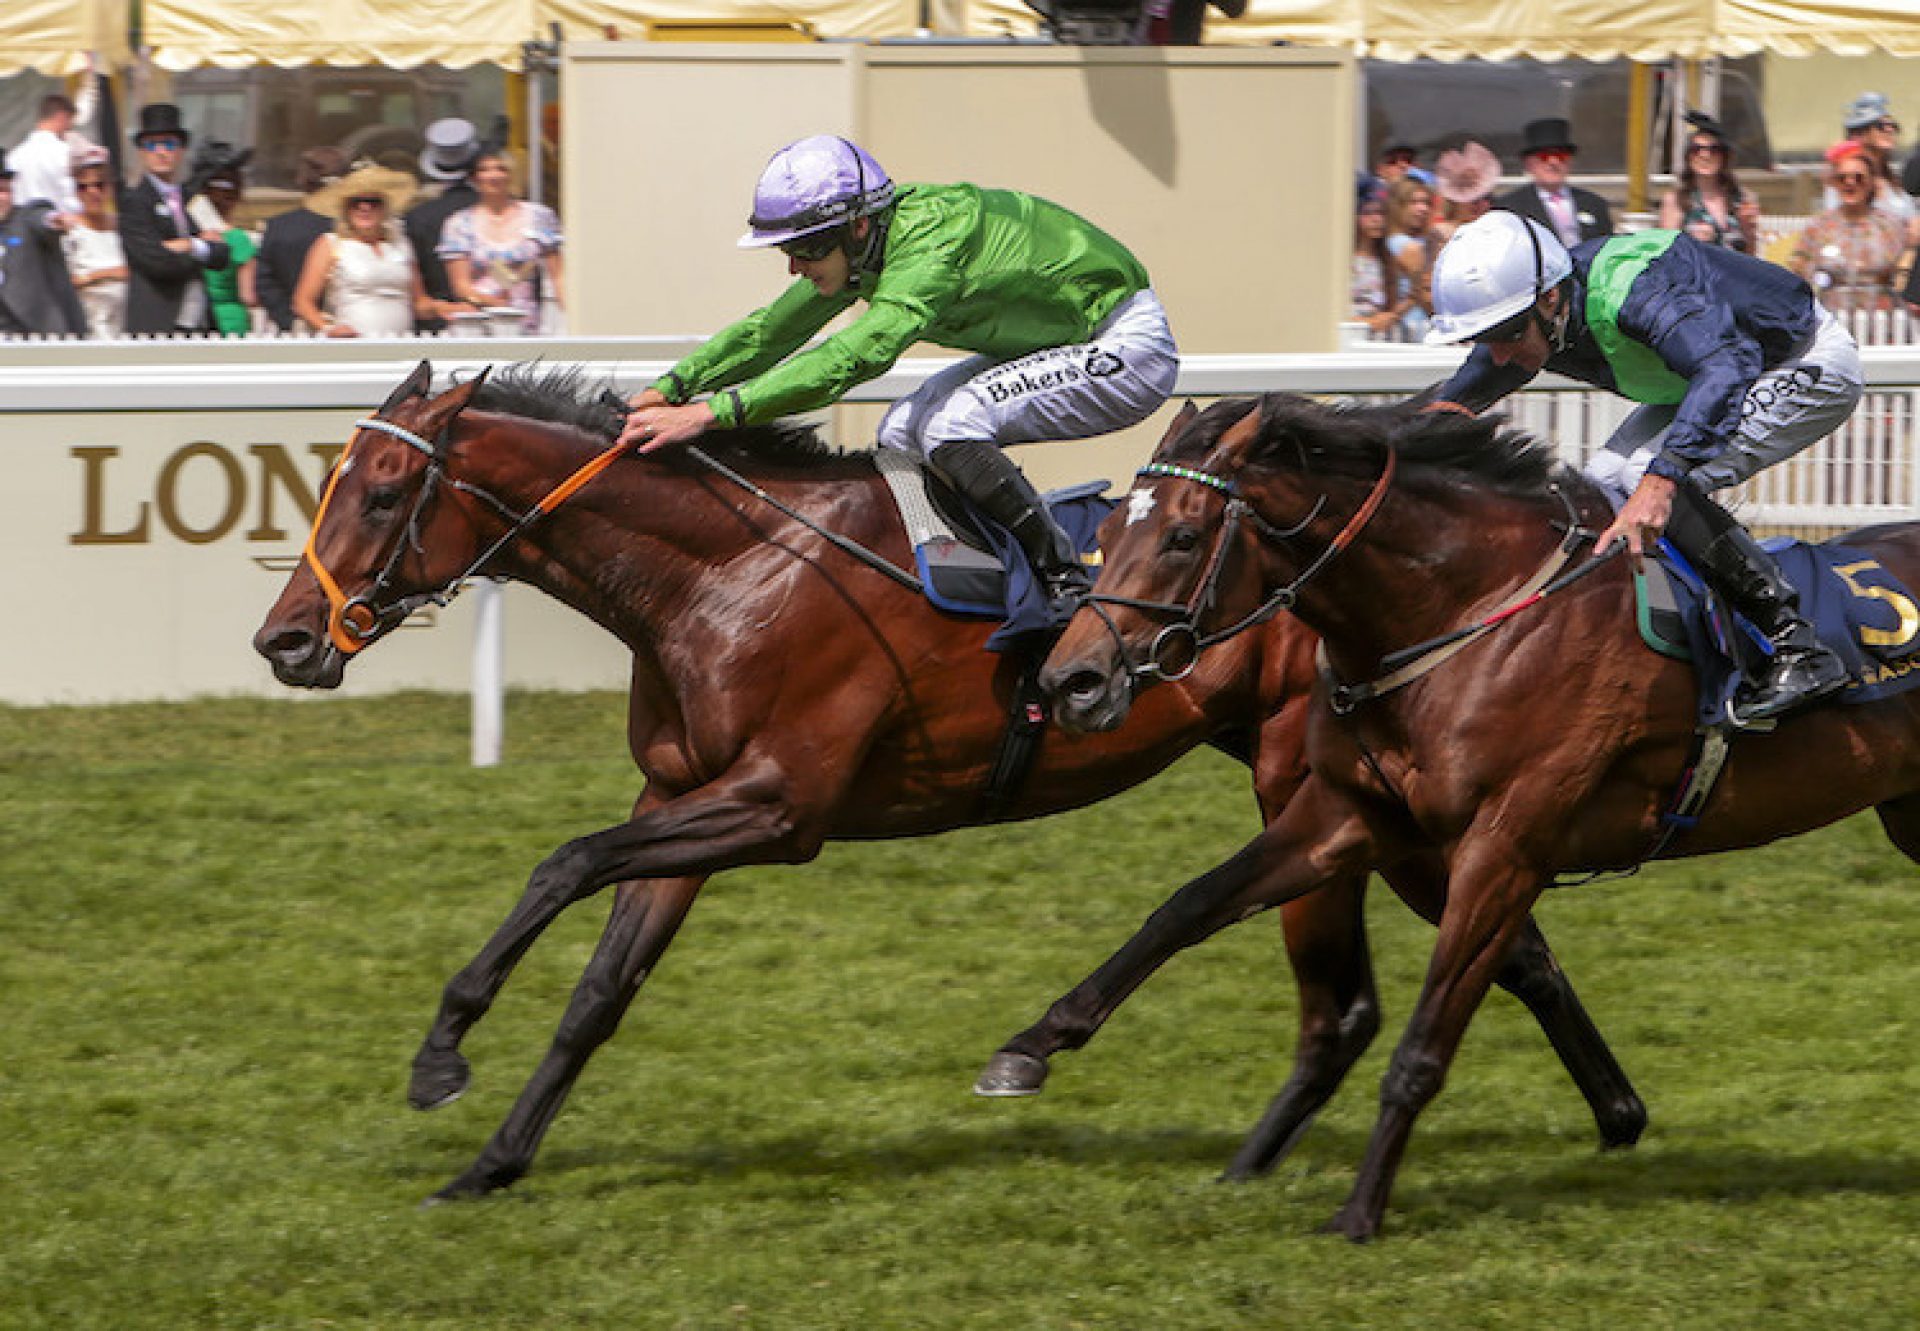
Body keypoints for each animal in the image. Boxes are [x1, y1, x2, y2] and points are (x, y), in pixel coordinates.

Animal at [247, 366, 1643, 1206]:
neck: (729, 570)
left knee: (1392, 976)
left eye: (382, 488)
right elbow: (600, 989)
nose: (285, 640)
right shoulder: (680, 805)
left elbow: (562, 859)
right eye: (328, 482)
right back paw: (1618, 1113)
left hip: (1315, 785)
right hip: (1363, 799)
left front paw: (441, 1055)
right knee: (1507, 950)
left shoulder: (778, 806)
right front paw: (491, 1157)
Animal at [1044, 391, 1920, 1236]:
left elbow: (1424, 1044)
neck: (1463, 612)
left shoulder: (1506, 847)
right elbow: (1188, 905)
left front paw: (1359, 1213)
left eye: (1183, 537)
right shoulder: (1349, 816)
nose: (1071, 681)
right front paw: (1037, 1042)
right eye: (1110, 528)